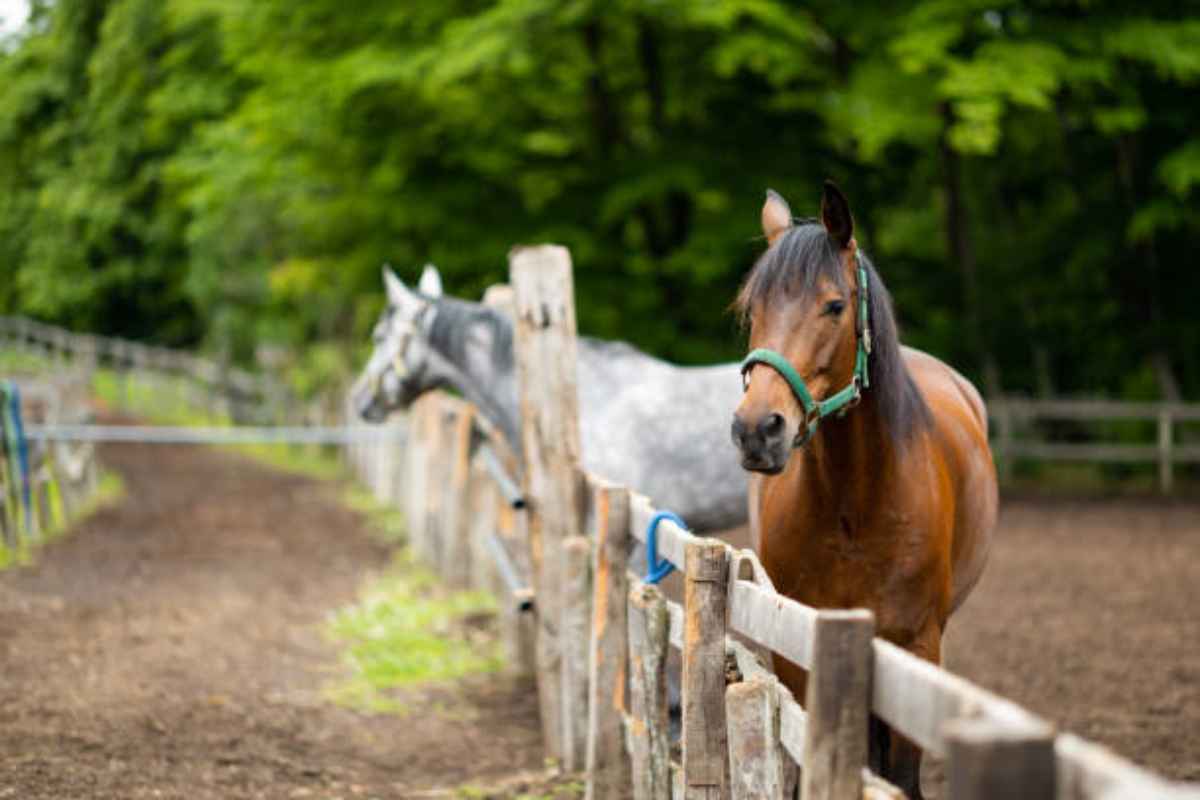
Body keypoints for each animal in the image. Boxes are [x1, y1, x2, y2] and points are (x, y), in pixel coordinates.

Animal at [724, 183, 998, 800]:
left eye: (833, 306)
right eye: (752, 310)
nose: (756, 429)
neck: (856, 506)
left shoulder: (917, 646)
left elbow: (901, 776)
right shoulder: (797, 648)